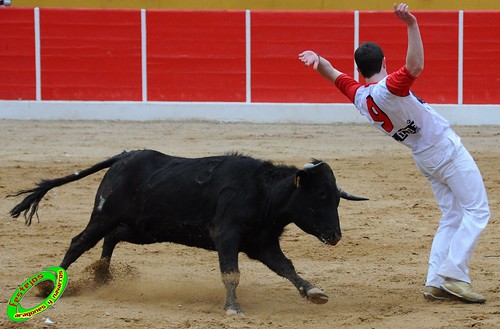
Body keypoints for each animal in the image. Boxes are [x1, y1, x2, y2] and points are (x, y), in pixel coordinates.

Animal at [8, 150, 368, 314]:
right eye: (319, 195)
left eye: (336, 197)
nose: (335, 235)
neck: (264, 194)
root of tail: (125, 156)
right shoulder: (227, 236)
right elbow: (231, 273)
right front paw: (233, 307)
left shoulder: (262, 244)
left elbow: (287, 268)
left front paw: (314, 292)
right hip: (104, 215)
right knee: (79, 242)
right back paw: (48, 285)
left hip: (142, 229)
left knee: (112, 238)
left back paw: (102, 276)